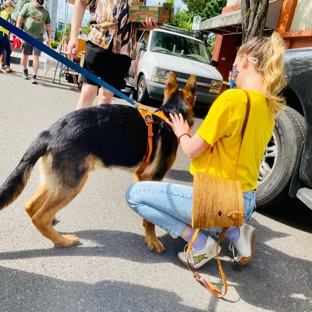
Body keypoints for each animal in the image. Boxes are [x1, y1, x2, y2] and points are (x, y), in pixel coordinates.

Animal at [0, 72, 195, 252]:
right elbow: (150, 220)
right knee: (41, 217)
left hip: (57, 182)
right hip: (72, 184)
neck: (170, 115)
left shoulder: (140, 176)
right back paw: (63, 241)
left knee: (30, 206)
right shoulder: (153, 177)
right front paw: (152, 239)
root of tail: (47, 133)